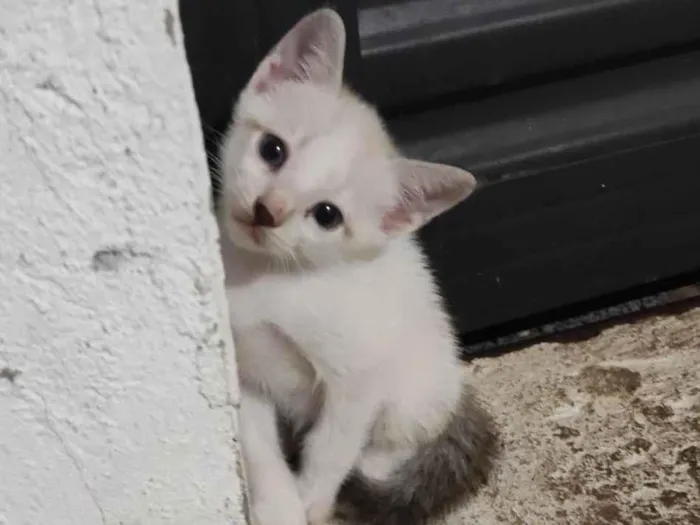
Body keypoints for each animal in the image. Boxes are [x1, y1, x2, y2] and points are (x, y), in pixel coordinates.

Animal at [219, 8, 498, 524]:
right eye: (273, 150)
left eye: (327, 215)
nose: (269, 210)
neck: (266, 278)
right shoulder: (244, 369)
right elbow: (258, 445)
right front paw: (277, 504)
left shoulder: (358, 378)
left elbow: (332, 448)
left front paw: (310, 502)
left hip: (416, 385)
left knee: (394, 441)